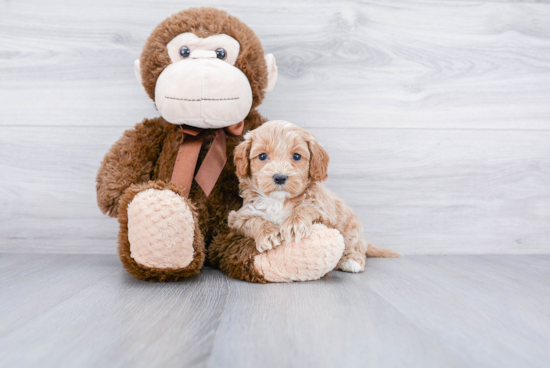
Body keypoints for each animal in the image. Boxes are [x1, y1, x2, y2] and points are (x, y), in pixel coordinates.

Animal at [229, 119, 402, 272]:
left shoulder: (326, 212)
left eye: (297, 156)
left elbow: (307, 207)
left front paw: (294, 223)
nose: (280, 177)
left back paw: (352, 261)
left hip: (352, 230)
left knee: (356, 247)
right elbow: (254, 220)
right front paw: (268, 233)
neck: (279, 201)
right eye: (262, 156)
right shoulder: (238, 217)